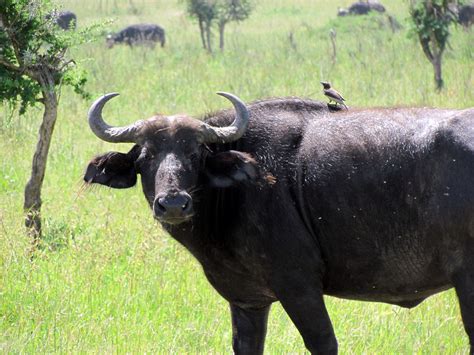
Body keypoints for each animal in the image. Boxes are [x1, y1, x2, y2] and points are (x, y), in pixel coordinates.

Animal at [83, 93, 474, 354]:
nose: (174, 203)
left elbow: (323, 342)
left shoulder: (298, 286)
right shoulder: (247, 300)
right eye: (145, 157)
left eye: (196, 154)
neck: (239, 190)